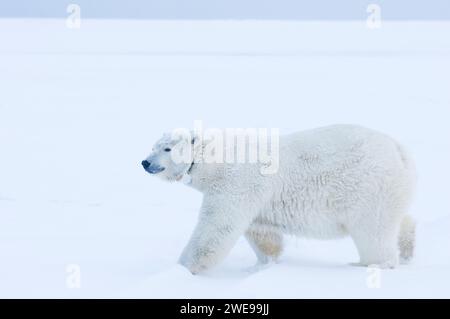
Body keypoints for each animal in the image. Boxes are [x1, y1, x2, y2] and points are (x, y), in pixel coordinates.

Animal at [142, 125, 416, 276]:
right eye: (154, 145)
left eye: (166, 149)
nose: (145, 162)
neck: (215, 160)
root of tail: (398, 149)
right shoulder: (255, 197)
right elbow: (260, 230)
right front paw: (265, 264)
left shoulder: (236, 183)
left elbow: (216, 227)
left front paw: (182, 268)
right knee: (400, 219)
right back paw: (407, 250)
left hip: (367, 187)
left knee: (373, 231)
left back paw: (368, 264)